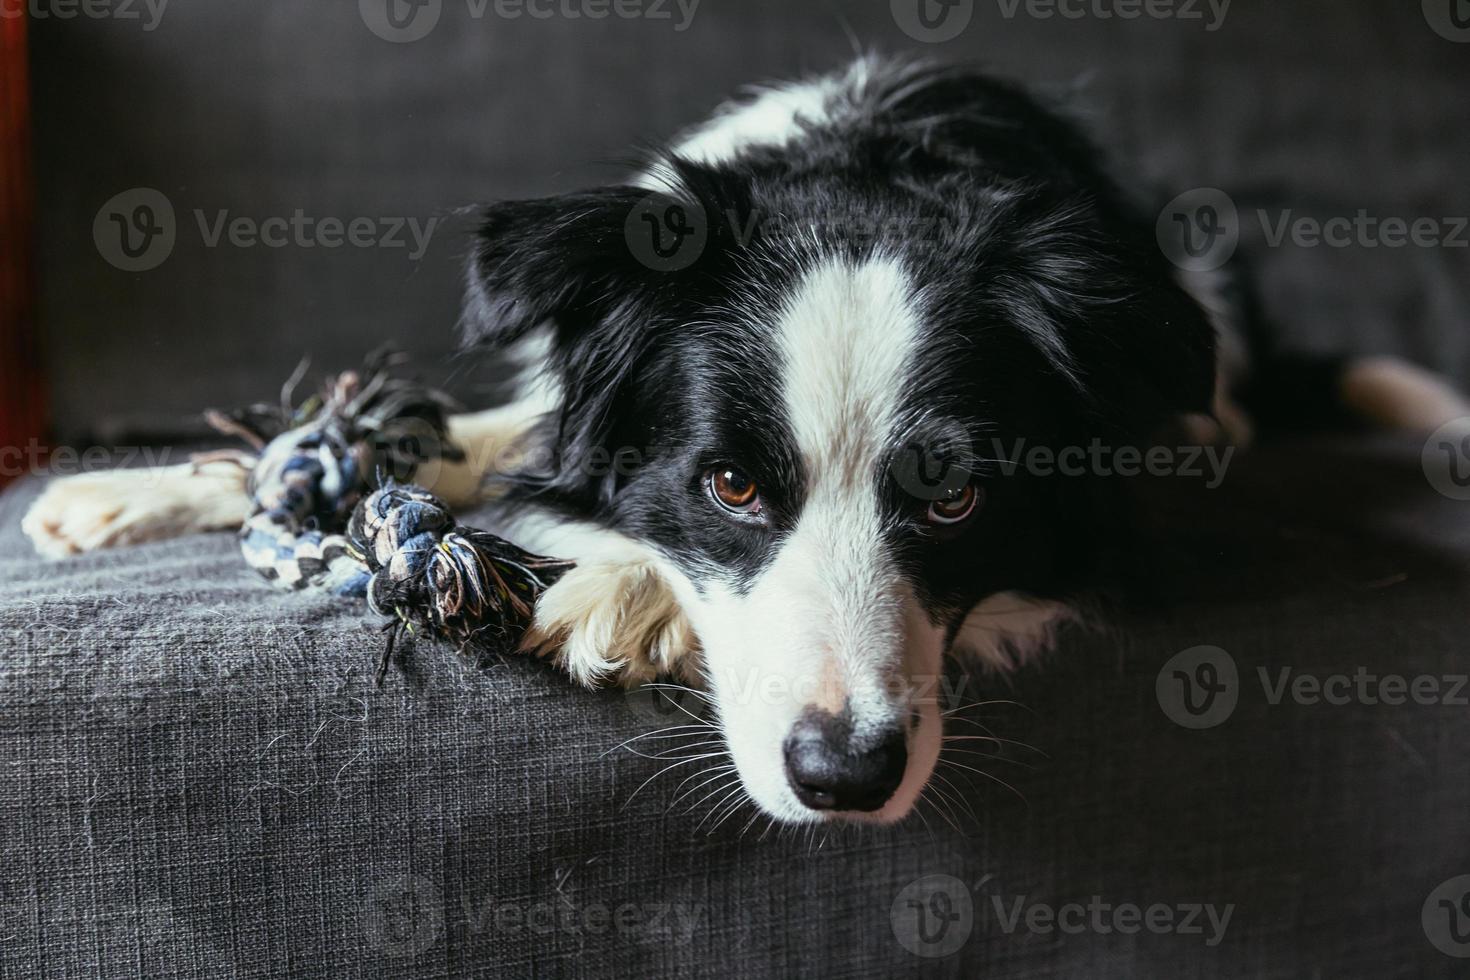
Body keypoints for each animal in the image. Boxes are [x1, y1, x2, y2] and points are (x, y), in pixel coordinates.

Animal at [25, 55, 1470, 828]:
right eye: (727, 481)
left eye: (956, 501)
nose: (844, 780)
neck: (863, 171)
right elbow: (459, 441)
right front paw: (132, 495)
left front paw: (623, 594)